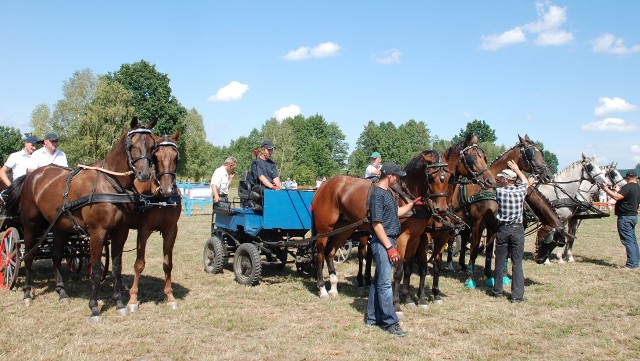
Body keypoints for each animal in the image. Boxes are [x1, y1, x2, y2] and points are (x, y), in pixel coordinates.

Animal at [2, 117, 156, 320]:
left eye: (153, 145)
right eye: (132, 144)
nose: (144, 174)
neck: (110, 185)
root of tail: (32, 176)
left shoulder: (120, 232)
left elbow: (117, 268)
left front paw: (119, 304)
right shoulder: (97, 233)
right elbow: (96, 270)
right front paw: (94, 308)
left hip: (59, 227)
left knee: (56, 256)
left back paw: (62, 292)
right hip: (30, 225)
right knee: (28, 255)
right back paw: (27, 293)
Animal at [126, 130, 180, 312]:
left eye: (176, 156)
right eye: (155, 156)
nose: (167, 188)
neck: (161, 199)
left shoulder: (171, 230)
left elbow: (168, 263)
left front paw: (170, 296)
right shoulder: (143, 230)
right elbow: (139, 264)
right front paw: (133, 299)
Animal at [452, 134, 552, 288]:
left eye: (541, 153)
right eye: (530, 153)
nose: (548, 175)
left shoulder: (493, 226)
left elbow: (489, 251)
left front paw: (490, 276)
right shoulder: (478, 224)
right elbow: (474, 250)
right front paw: (470, 279)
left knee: (463, 241)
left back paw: (462, 265)